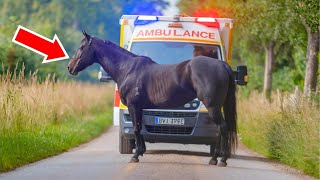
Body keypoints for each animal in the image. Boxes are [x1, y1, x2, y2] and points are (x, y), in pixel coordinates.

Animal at [68, 31, 238, 167]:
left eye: (82, 48)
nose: (70, 67)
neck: (127, 69)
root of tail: (222, 65)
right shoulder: (140, 108)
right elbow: (139, 127)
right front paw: (141, 151)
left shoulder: (134, 106)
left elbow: (136, 129)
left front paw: (135, 156)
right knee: (222, 129)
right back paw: (216, 159)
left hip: (213, 107)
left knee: (222, 128)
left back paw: (220, 160)